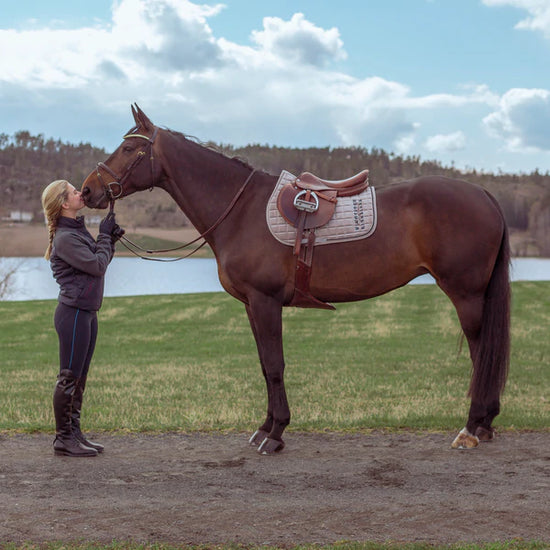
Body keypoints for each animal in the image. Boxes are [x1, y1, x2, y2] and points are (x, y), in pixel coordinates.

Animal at [80, 105, 512, 454]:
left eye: (130, 149)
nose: (87, 190)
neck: (241, 210)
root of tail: (486, 195)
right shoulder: (253, 306)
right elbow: (264, 365)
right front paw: (265, 427)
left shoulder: (265, 301)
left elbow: (275, 365)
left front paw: (276, 434)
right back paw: (484, 424)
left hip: (466, 294)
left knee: (480, 355)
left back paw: (472, 428)